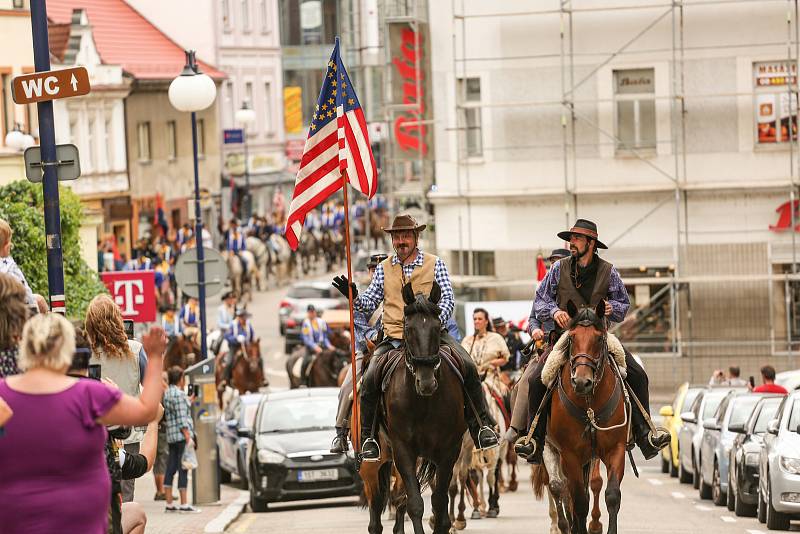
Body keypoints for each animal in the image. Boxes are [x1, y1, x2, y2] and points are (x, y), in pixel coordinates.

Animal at [360, 282, 466, 532]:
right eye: (408, 329)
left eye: (437, 328)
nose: (426, 382)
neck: (424, 403)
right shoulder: (403, 451)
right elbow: (415, 504)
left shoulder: (449, 451)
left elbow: (439, 503)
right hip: (375, 464)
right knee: (378, 506)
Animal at [532, 302, 632, 534]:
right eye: (571, 338)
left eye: (599, 338)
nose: (581, 382)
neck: (589, 405)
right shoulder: (571, 455)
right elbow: (578, 502)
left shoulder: (615, 449)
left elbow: (611, 495)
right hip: (551, 450)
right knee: (560, 489)